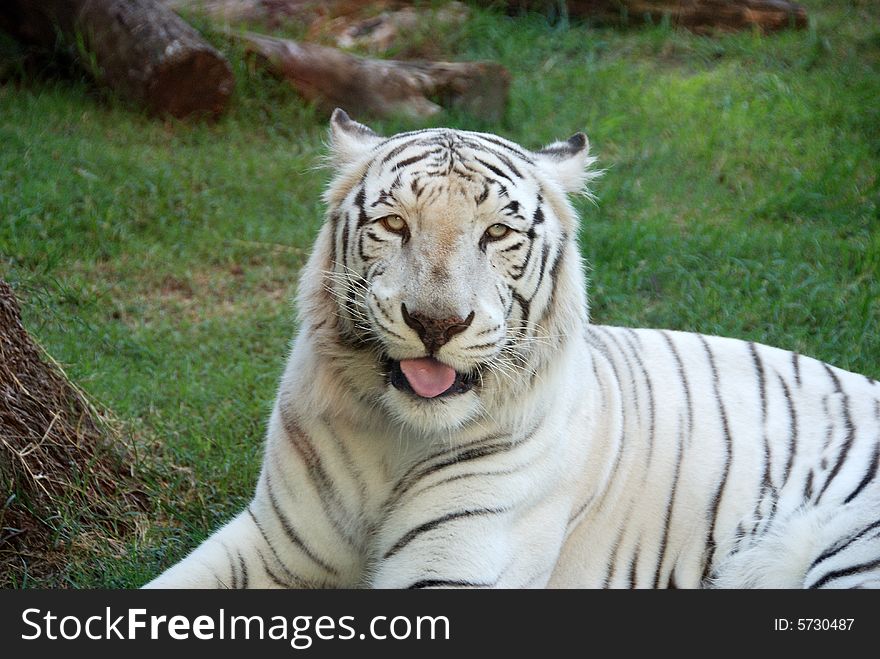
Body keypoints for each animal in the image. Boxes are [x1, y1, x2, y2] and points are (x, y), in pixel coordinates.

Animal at [146, 111, 880, 592]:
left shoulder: (452, 566)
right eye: (394, 224)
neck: (397, 437)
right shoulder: (272, 541)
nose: (435, 322)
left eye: (497, 233)